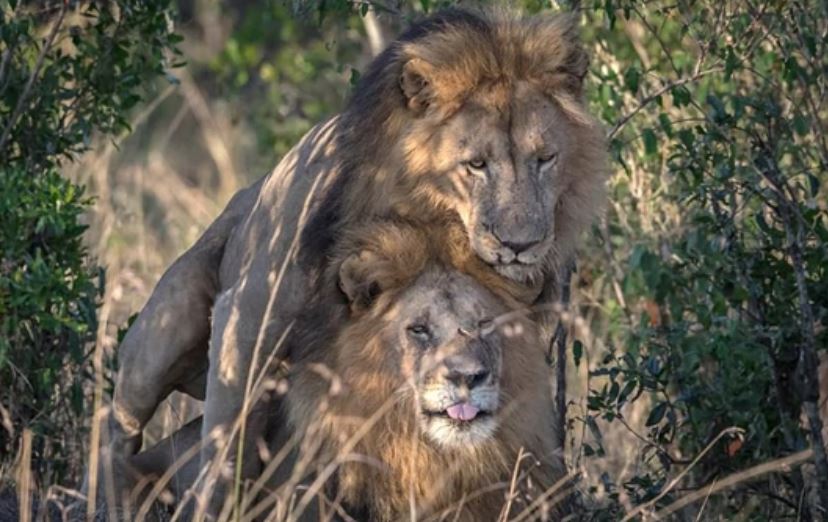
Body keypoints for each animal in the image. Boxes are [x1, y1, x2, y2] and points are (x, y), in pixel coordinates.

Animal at [98, 7, 606, 514]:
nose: (521, 244)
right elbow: (226, 449)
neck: (428, 217)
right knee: (119, 429)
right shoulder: (247, 317)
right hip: (165, 331)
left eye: (546, 159)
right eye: (475, 164)